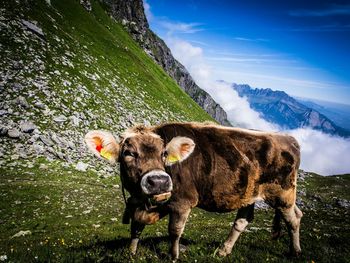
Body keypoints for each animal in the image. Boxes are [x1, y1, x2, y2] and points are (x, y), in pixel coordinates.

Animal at [84, 122, 300, 260]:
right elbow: (136, 227)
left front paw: (173, 256)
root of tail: (288, 138)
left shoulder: (182, 202)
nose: (159, 182)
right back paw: (223, 251)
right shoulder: (138, 202)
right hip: (249, 194)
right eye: (128, 153)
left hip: (283, 193)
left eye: (164, 154)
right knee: (243, 221)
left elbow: (174, 231)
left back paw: (295, 251)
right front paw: (131, 252)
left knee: (293, 219)